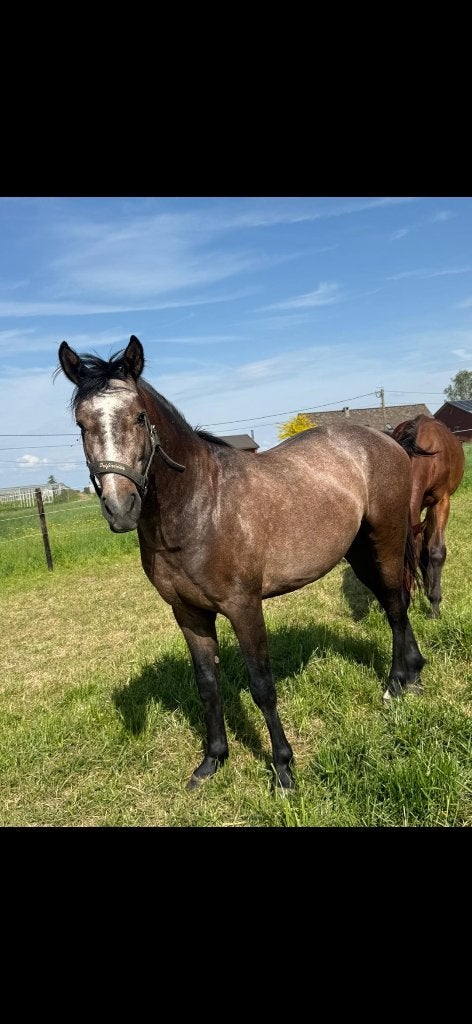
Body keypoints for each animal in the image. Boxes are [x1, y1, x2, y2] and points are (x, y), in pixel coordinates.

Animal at [58, 335, 426, 790]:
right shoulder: (189, 613)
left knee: (395, 606)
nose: (120, 507)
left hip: (385, 541)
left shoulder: (244, 607)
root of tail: (386, 440)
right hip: (358, 552)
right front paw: (212, 761)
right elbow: (208, 685)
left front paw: (283, 769)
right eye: (81, 424)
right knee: (397, 603)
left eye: (139, 416)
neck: (199, 507)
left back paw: (396, 684)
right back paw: (413, 675)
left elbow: (262, 686)